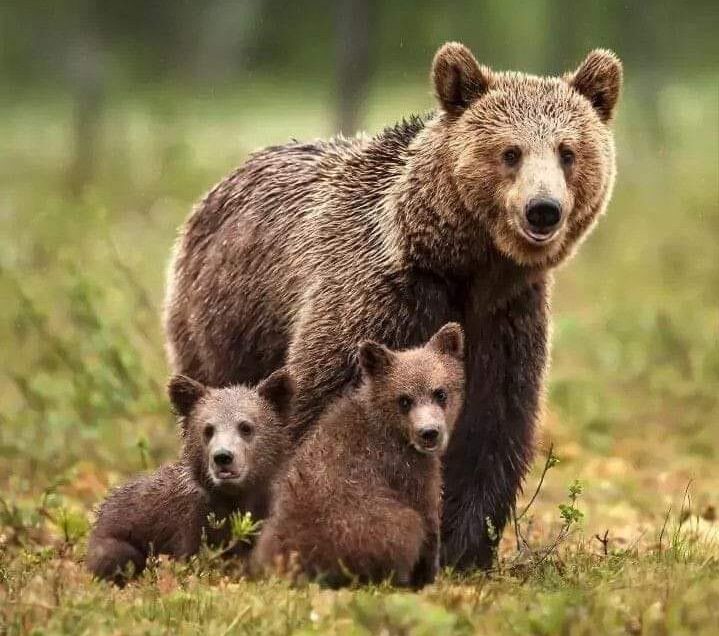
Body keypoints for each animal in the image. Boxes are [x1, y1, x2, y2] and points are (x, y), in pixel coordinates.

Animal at [253, 323, 465, 588]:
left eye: (440, 393)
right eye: (404, 400)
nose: (429, 433)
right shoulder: (407, 472)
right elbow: (428, 521)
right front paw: (428, 577)